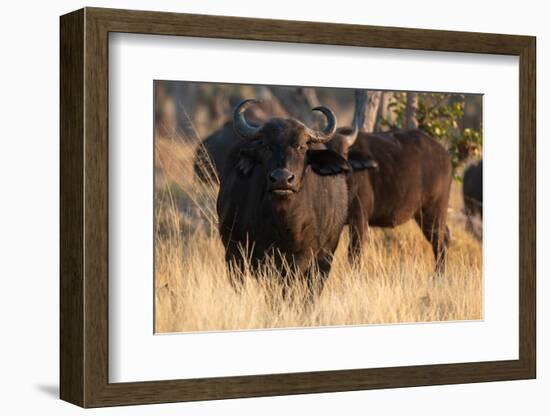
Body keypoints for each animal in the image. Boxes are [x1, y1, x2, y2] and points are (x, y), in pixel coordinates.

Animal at [216, 100, 354, 296]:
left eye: (301, 146)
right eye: (266, 146)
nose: (282, 179)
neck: (284, 223)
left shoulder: (308, 257)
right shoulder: (246, 254)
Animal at [330, 128, 454, 274]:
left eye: (344, 153)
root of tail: (444, 155)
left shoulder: (359, 218)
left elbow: (354, 253)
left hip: (434, 211)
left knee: (440, 243)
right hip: (422, 215)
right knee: (445, 237)